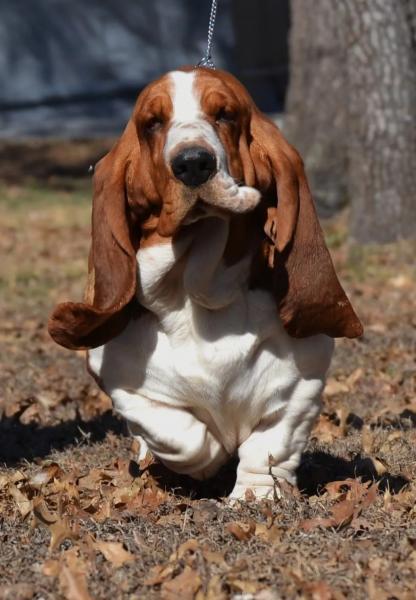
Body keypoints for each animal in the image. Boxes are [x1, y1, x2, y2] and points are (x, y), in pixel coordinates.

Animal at [48, 65, 360, 500]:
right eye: (152, 123)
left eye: (225, 115)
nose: (193, 163)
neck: (200, 294)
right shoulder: (125, 385)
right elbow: (181, 434)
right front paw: (208, 460)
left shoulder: (303, 384)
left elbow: (270, 445)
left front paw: (254, 496)